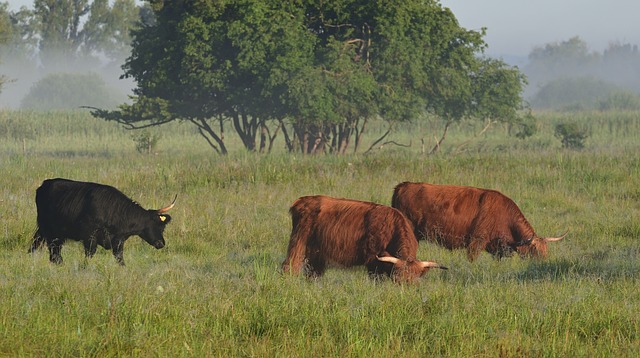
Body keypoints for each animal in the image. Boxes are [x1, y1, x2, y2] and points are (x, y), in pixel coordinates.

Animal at [29, 179, 175, 266]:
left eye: (163, 227)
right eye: (157, 226)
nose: (161, 243)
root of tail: (44, 184)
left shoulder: (118, 241)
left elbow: (120, 258)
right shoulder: (89, 236)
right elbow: (89, 254)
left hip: (51, 232)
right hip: (47, 228)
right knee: (50, 248)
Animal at [280, 196, 444, 282]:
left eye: (415, 282)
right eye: (397, 280)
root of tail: (302, 201)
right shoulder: (373, 263)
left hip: (316, 253)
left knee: (313, 273)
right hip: (298, 242)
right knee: (289, 266)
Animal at [390, 183, 564, 262]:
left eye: (546, 251)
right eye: (535, 251)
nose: (542, 264)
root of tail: (403, 185)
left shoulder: (498, 248)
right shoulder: (476, 242)